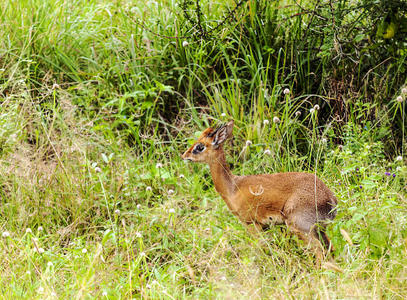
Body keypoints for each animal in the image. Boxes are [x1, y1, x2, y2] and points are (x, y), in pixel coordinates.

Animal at [183, 120, 340, 262]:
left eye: (200, 146)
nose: (184, 155)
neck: (233, 188)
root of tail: (330, 199)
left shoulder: (252, 224)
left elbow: (259, 249)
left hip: (301, 227)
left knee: (319, 250)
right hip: (319, 229)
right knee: (330, 248)